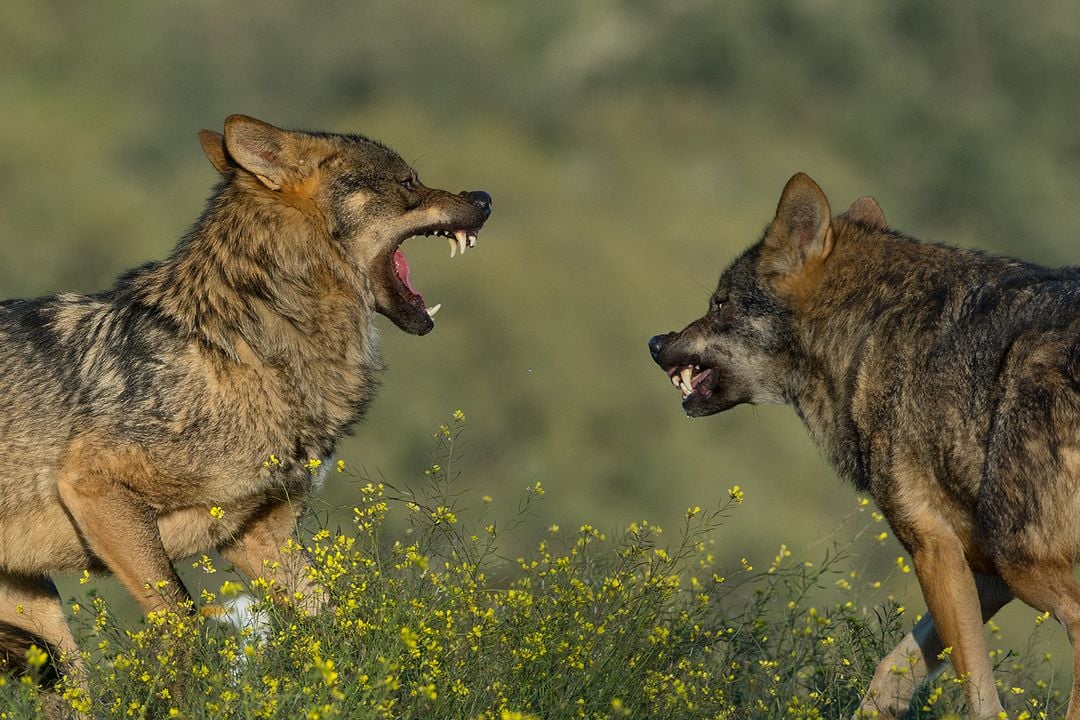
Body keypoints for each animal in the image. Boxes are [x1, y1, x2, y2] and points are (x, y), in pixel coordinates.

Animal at [0, 114, 491, 709]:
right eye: (407, 182)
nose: (486, 198)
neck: (250, 349)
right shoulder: (94, 486)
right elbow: (182, 620)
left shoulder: (261, 539)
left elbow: (339, 625)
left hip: (46, 631)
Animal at [649, 172, 1080, 719]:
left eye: (720, 303)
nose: (655, 342)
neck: (869, 328)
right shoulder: (982, 572)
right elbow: (891, 673)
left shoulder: (934, 548)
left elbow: (978, 693)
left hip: (1021, 559)